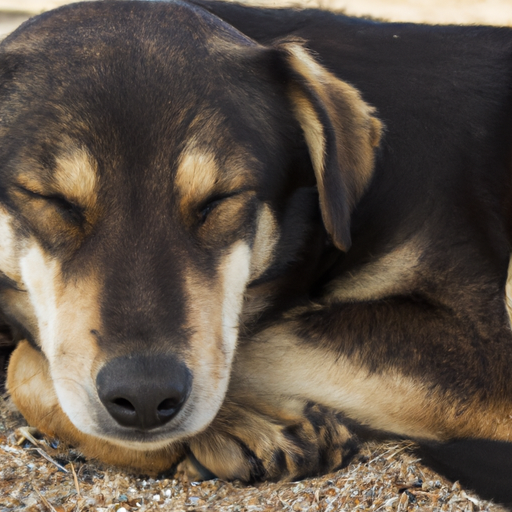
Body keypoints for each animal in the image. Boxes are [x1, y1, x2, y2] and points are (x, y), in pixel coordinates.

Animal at [3, 0, 512, 504]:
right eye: (53, 200)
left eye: (219, 199)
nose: (145, 398)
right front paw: (241, 425)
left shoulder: (479, 350)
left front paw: (245, 422)